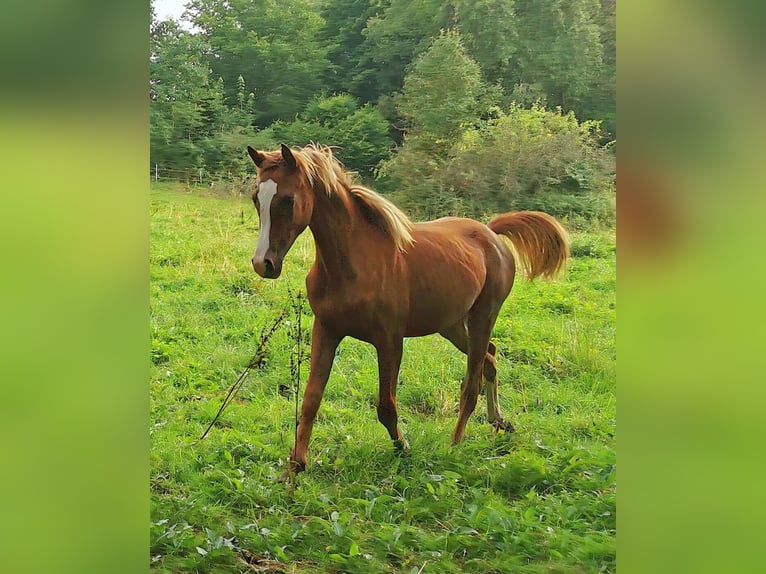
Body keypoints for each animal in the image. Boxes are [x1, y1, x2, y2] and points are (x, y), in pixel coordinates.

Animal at [246, 144, 568, 482]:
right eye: (256, 197)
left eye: (288, 199)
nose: (263, 264)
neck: (354, 264)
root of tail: (491, 234)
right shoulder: (326, 330)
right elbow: (310, 400)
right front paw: (295, 466)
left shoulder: (389, 341)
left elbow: (386, 405)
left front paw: (404, 448)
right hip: (451, 324)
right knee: (490, 359)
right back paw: (499, 421)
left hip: (484, 315)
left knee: (472, 382)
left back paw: (455, 443)